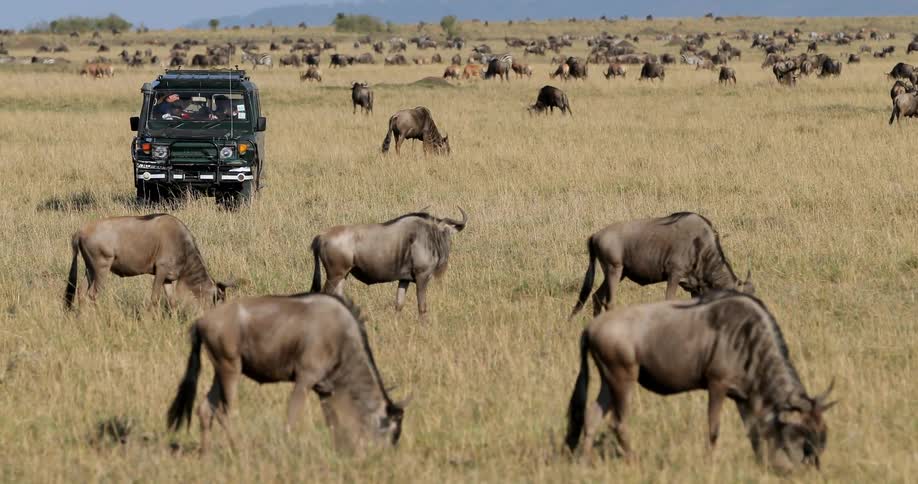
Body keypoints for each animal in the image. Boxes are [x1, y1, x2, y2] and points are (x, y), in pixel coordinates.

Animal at [310, 209, 467, 321]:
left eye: (448, 231)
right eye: (440, 230)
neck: (425, 236)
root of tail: (321, 236)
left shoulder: (404, 279)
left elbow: (399, 304)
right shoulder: (422, 277)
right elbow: (421, 305)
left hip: (343, 276)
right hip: (334, 276)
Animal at [569, 212, 753, 318]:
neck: (701, 245)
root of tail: (595, 235)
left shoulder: (694, 286)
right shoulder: (674, 275)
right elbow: (669, 299)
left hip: (619, 274)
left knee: (596, 297)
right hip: (614, 270)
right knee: (609, 302)